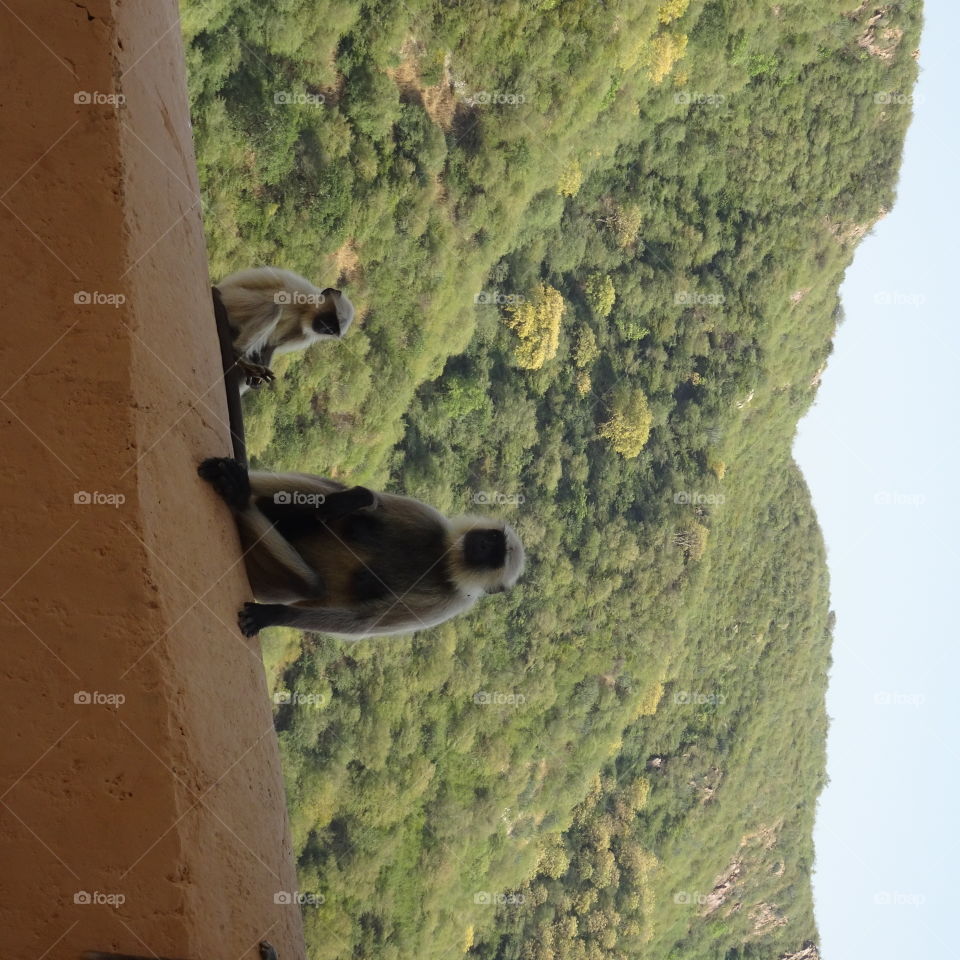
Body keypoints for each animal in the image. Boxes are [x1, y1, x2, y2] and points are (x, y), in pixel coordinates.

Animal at [197, 457, 525, 638]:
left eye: (493, 555)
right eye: (490, 542)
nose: (481, 545)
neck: (440, 560)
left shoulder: (450, 602)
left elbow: (361, 622)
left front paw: (274, 616)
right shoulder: (431, 522)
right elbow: (366, 499)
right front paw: (358, 498)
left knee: (313, 586)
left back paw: (240, 499)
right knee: (324, 495)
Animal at [214, 267, 355, 393]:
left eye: (330, 330)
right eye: (328, 321)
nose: (325, 328)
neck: (304, 311)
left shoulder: (304, 335)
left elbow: (270, 345)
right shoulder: (297, 292)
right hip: (233, 300)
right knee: (272, 307)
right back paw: (237, 353)